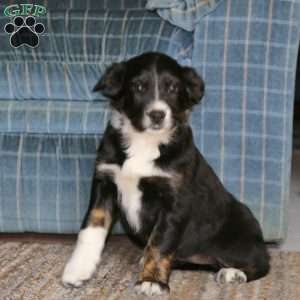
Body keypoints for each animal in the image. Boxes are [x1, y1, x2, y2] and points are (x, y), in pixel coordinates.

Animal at [61, 52, 270, 296]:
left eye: (173, 88)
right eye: (138, 87)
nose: (157, 115)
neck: (144, 141)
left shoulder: (174, 201)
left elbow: (159, 244)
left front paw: (151, 281)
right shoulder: (104, 183)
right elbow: (91, 228)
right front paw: (77, 269)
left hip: (237, 234)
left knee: (262, 262)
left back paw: (233, 272)